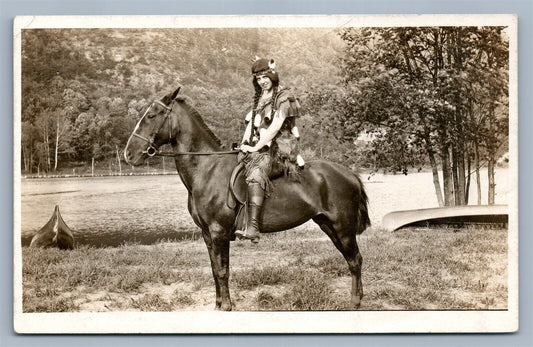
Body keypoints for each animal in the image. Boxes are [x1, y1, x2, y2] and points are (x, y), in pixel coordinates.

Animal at [123, 88, 370, 312]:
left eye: (152, 115)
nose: (128, 154)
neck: (207, 169)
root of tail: (349, 174)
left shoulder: (219, 232)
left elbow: (222, 270)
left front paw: (226, 306)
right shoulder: (207, 234)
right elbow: (215, 269)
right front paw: (218, 304)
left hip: (343, 227)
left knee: (356, 260)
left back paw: (355, 302)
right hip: (328, 225)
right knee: (351, 259)